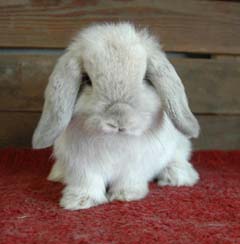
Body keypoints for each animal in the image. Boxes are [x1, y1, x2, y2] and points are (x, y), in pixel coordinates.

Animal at [32, 22, 201, 210]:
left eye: (145, 78)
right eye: (87, 80)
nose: (119, 120)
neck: (115, 142)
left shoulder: (136, 164)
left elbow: (128, 179)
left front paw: (125, 195)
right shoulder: (82, 166)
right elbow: (88, 182)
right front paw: (80, 201)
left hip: (179, 145)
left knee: (179, 158)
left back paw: (177, 176)